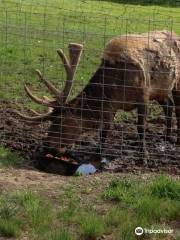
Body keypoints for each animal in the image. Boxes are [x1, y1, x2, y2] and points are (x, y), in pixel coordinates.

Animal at [14, 29, 180, 165]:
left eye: (60, 121)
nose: (46, 146)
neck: (115, 88)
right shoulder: (111, 106)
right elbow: (104, 129)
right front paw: (98, 153)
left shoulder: (143, 96)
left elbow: (140, 127)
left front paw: (143, 157)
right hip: (160, 90)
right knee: (169, 104)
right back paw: (167, 136)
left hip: (175, 83)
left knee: (175, 105)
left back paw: (175, 139)